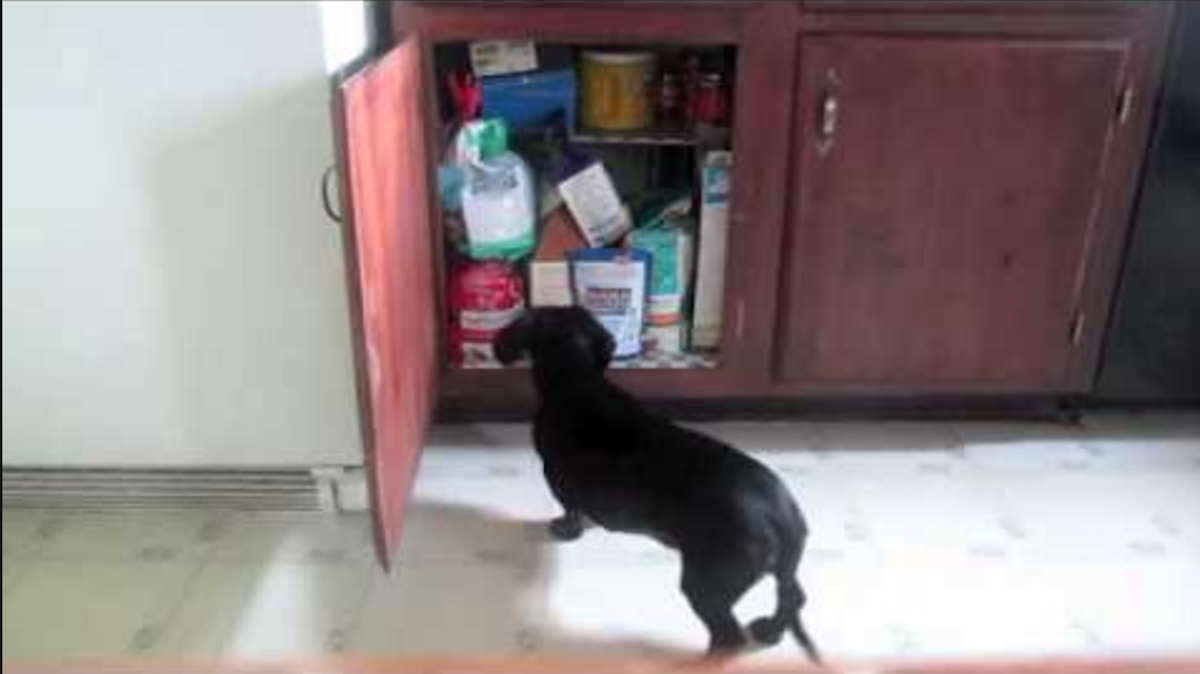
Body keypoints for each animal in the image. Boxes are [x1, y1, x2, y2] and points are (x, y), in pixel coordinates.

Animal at [492, 305, 820, 657]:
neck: (577, 377)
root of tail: (782, 516)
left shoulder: (556, 477)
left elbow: (570, 508)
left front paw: (566, 529)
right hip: (780, 569)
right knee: (793, 597)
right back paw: (770, 631)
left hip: (707, 581)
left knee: (727, 635)